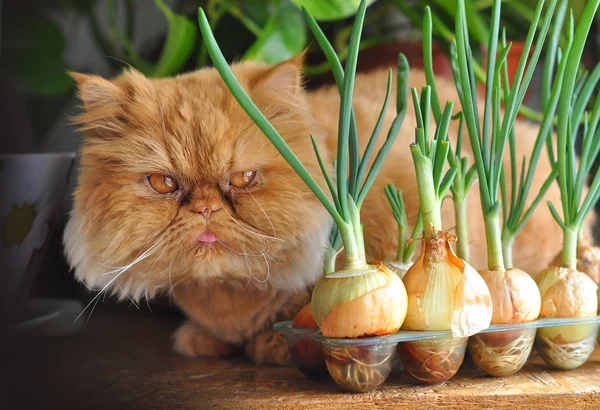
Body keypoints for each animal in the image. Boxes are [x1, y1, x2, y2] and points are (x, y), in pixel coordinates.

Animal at [64, 54, 580, 366]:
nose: (206, 209)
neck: (229, 294)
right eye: (164, 184)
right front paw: (203, 339)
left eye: (244, 179)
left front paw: (274, 343)